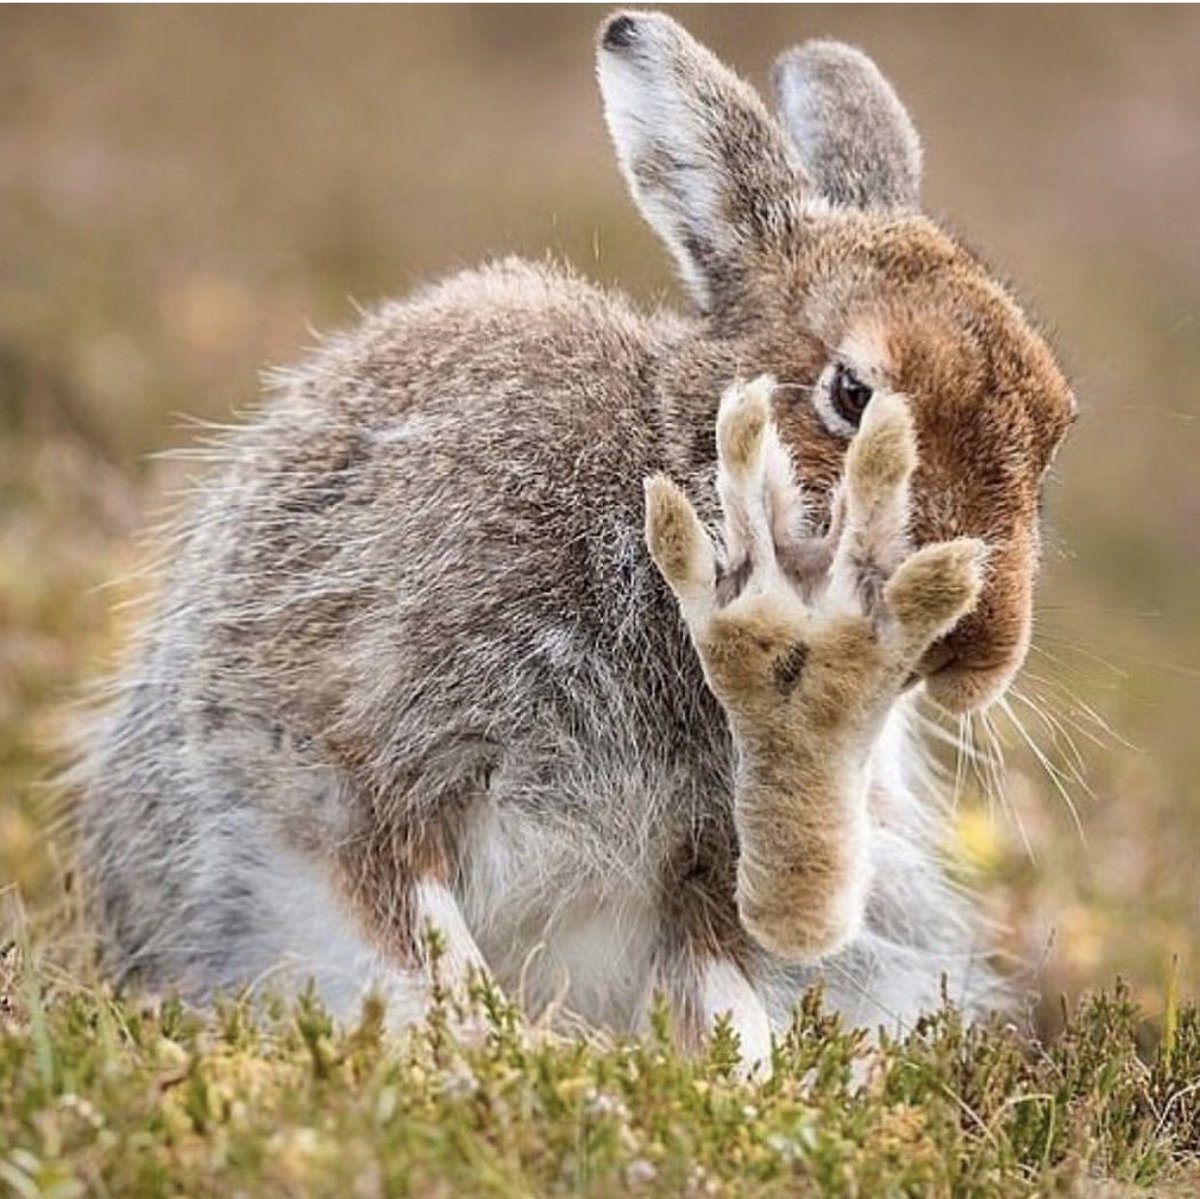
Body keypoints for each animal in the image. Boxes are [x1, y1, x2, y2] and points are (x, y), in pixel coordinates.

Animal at [82, 11, 1080, 1070]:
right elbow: (418, 931)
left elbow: (722, 1000)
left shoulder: (701, 870)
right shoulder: (358, 756)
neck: (665, 490)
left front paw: (732, 1087)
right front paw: (503, 1048)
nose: (982, 648)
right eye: (852, 394)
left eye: (1057, 425)